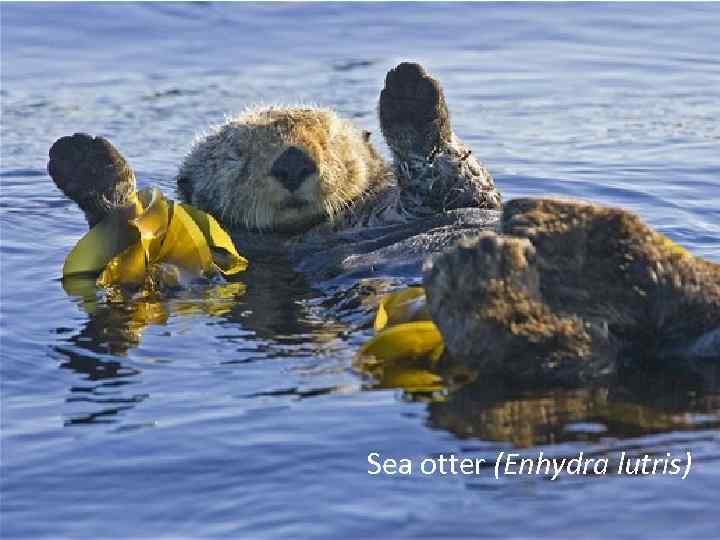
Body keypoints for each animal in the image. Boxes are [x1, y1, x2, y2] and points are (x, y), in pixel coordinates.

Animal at [47, 63, 716, 384]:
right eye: (238, 155)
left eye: (327, 137)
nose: (293, 160)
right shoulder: (220, 269)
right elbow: (142, 255)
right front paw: (82, 160)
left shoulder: (431, 199)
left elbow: (444, 167)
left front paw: (410, 90)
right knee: (545, 352)